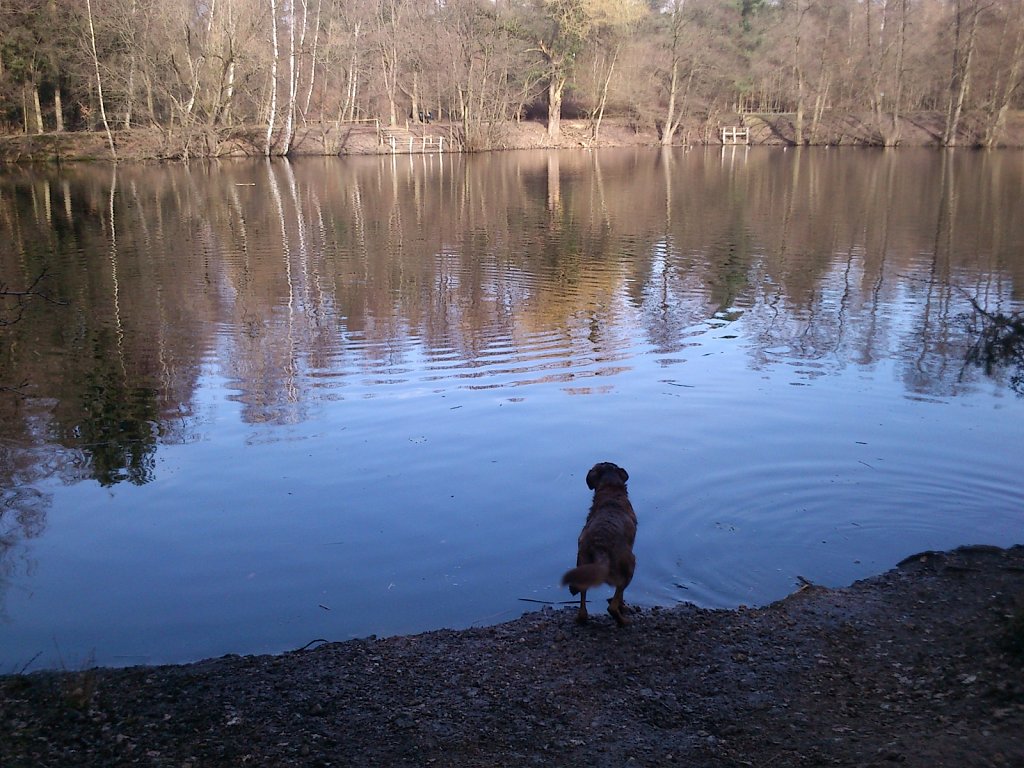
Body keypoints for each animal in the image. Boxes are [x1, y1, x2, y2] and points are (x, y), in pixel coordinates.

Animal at [565, 462, 634, 626]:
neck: (611, 490)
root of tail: (599, 545)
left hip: (583, 564)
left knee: (583, 601)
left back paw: (581, 618)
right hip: (630, 566)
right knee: (613, 606)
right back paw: (623, 621)